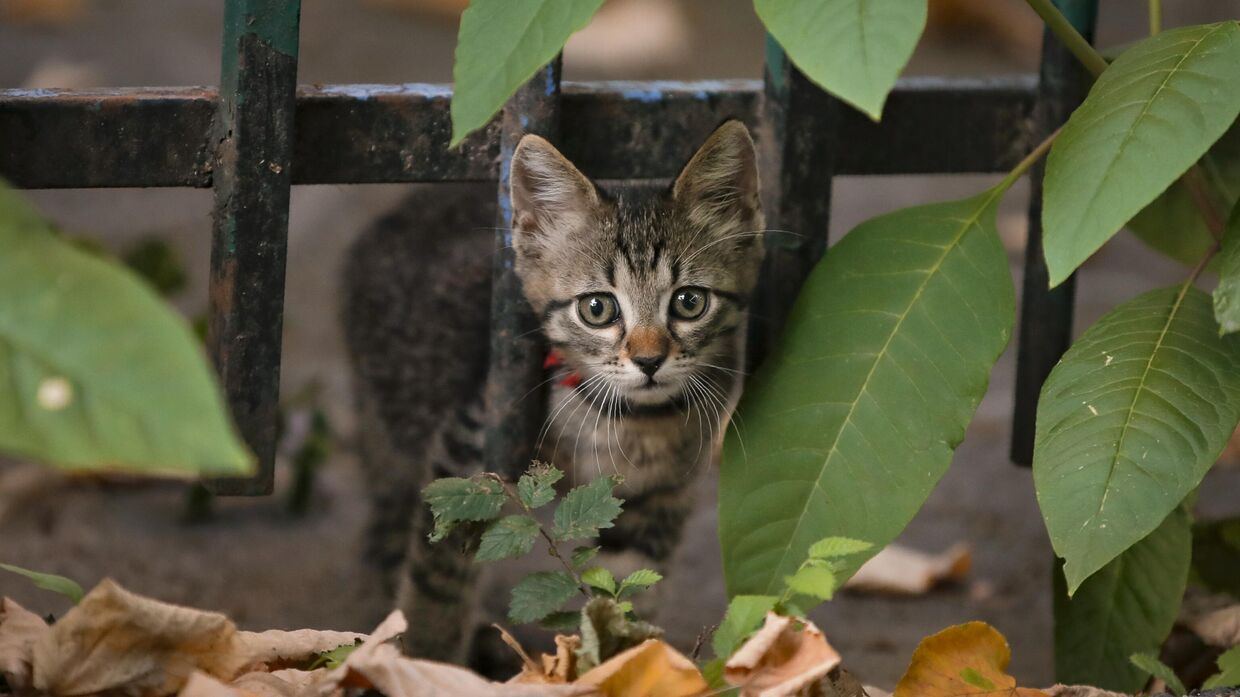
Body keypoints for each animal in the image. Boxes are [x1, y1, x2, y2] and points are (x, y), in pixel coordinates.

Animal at [342, 122, 763, 664]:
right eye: (597, 309)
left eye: (690, 302)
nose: (649, 361)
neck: (629, 420)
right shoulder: (470, 453)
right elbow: (439, 577)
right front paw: (425, 655)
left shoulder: (656, 499)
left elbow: (627, 590)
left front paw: (623, 660)